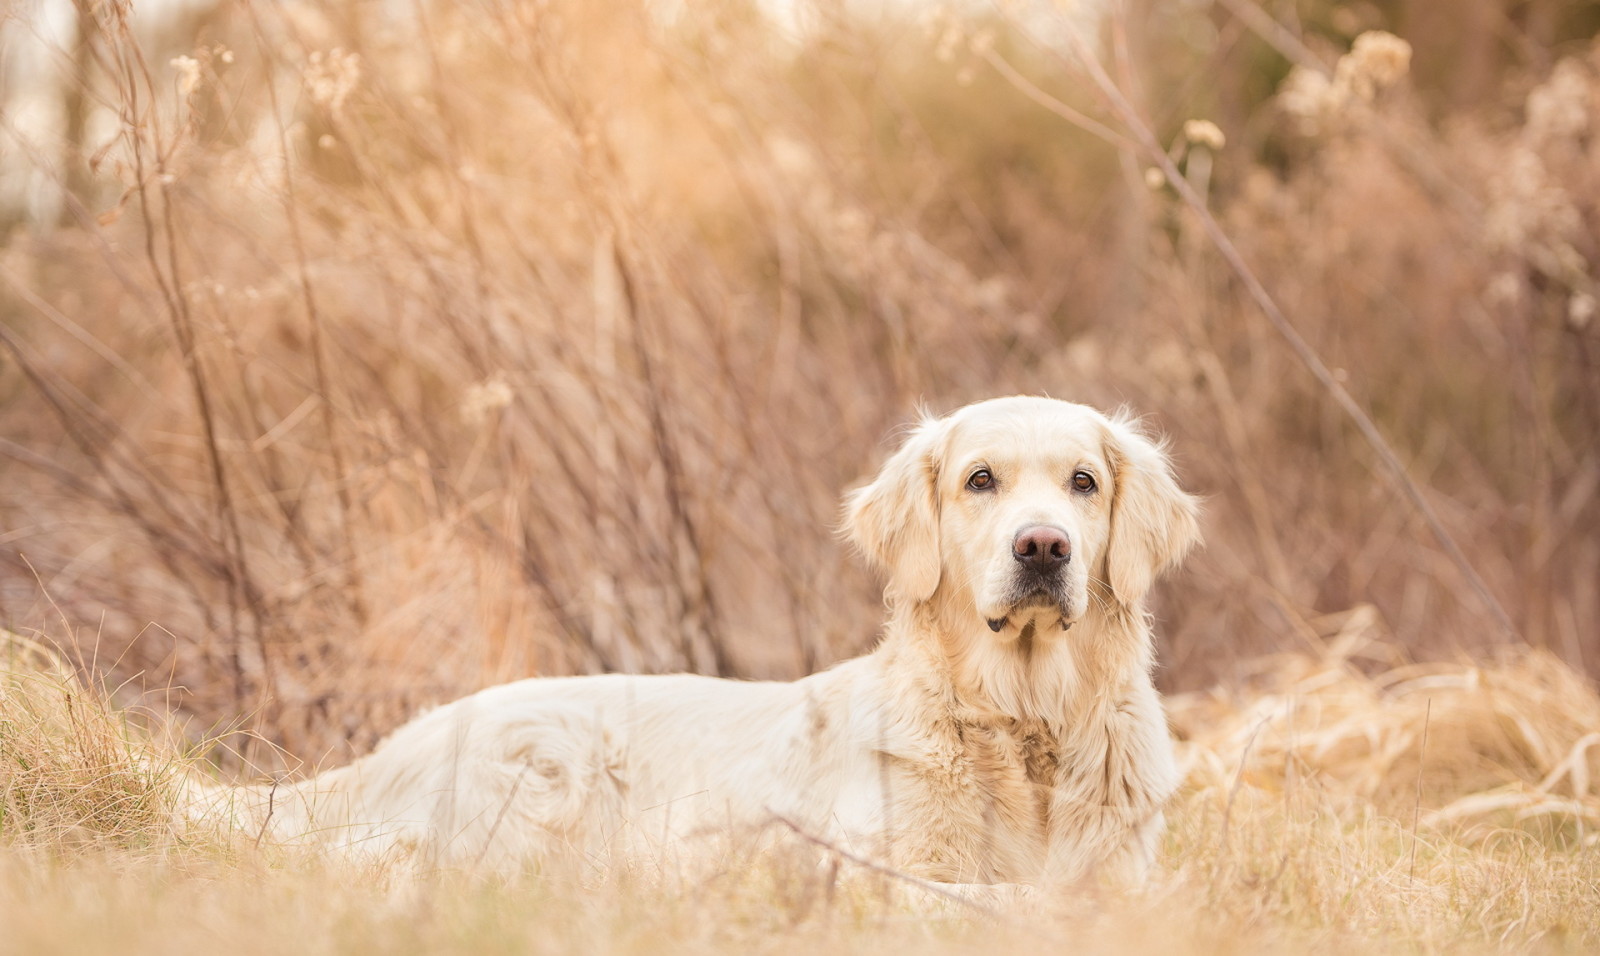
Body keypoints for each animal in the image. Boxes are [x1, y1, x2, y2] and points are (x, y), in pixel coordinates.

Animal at [196, 399, 1203, 888]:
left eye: (1082, 482)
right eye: (980, 480)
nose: (1043, 548)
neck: (1024, 719)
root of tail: (379, 757)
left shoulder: (1126, 875)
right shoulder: (888, 874)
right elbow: (1001, 898)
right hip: (545, 765)